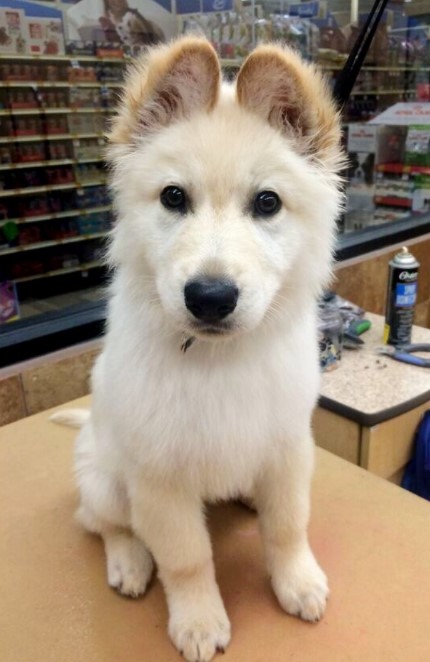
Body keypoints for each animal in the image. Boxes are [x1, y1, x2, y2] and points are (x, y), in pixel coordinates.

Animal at [52, 37, 344, 662]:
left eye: (267, 203)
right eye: (173, 197)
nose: (210, 297)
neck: (218, 361)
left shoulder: (288, 448)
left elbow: (289, 525)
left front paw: (297, 581)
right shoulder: (160, 482)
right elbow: (186, 559)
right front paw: (199, 620)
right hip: (106, 481)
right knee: (101, 521)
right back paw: (129, 561)